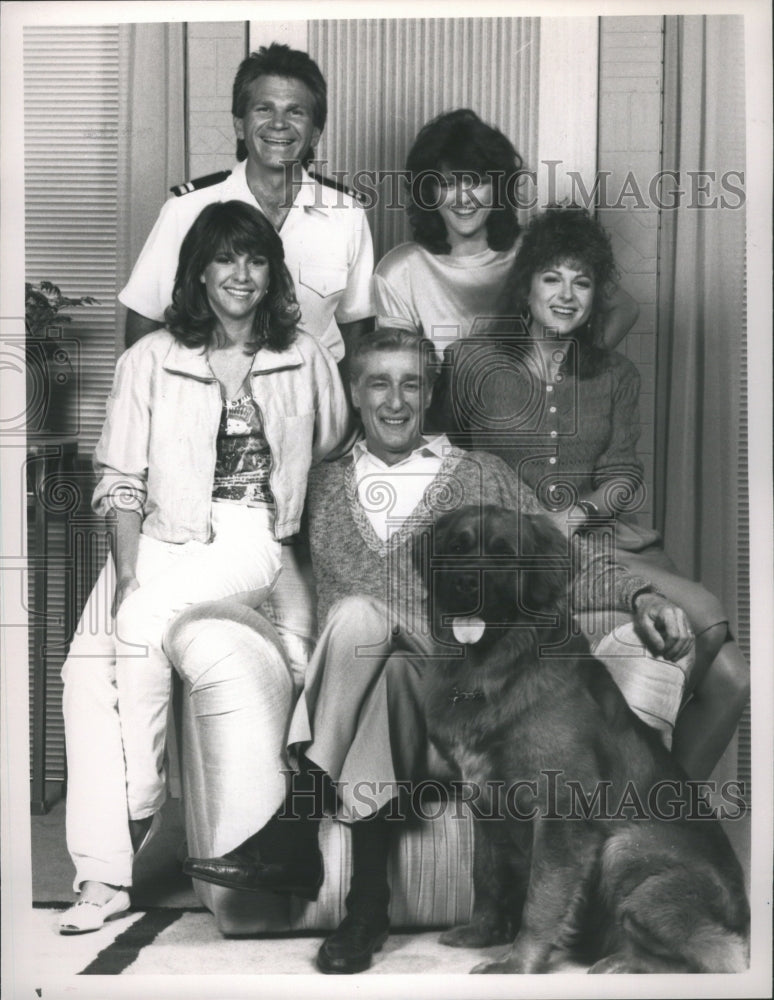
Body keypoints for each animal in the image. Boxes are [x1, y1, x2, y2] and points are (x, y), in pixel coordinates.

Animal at [424, 504, 752, 972]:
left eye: (505, 554)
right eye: (457, 547)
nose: (466, 583)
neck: (494, 668)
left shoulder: (560, 811)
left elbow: (540, 898)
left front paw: (517, 963)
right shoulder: (485, 801)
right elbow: (485, 874)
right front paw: (482, 932)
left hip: (624, 848)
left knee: (714, 954)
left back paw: (621, 963)